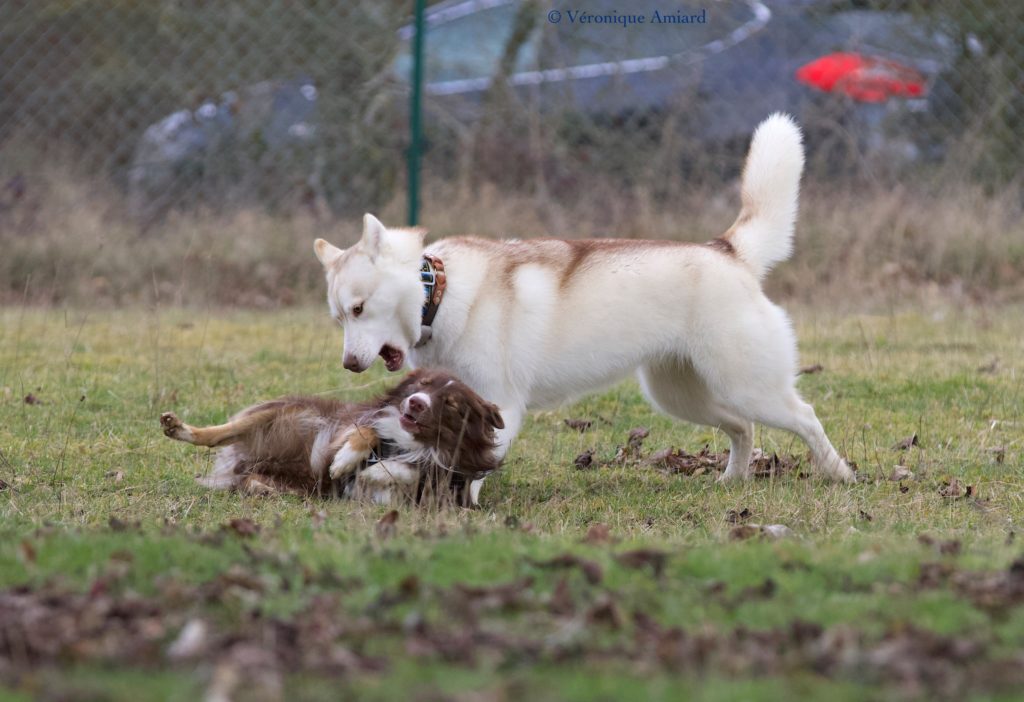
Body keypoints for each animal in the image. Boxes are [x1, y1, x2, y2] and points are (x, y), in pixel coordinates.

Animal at [158, 368, 503, 505]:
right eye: (423, 384)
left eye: (451, 404)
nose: (415, 402)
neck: (410, 443)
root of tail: (241, 462)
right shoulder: (348, 427)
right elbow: (367, 431)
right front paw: (345, 462)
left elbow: (414, 472)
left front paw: (379, 470)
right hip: (284, 412)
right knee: (217, 435)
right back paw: (177, 427)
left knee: (253, 481)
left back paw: (262, 488)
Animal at [313, 115, 856, 501]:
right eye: (339, 318)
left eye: (359, 309)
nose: (349, 364)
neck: (441, 295)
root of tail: (727, 250)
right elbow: (379, 431)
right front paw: (349, 459)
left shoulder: (499, 407)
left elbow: (452, 464)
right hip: (679, 395)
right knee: (742, 429)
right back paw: (732, 482)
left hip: (749, 387)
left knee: (805, 416)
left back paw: (839, 473)